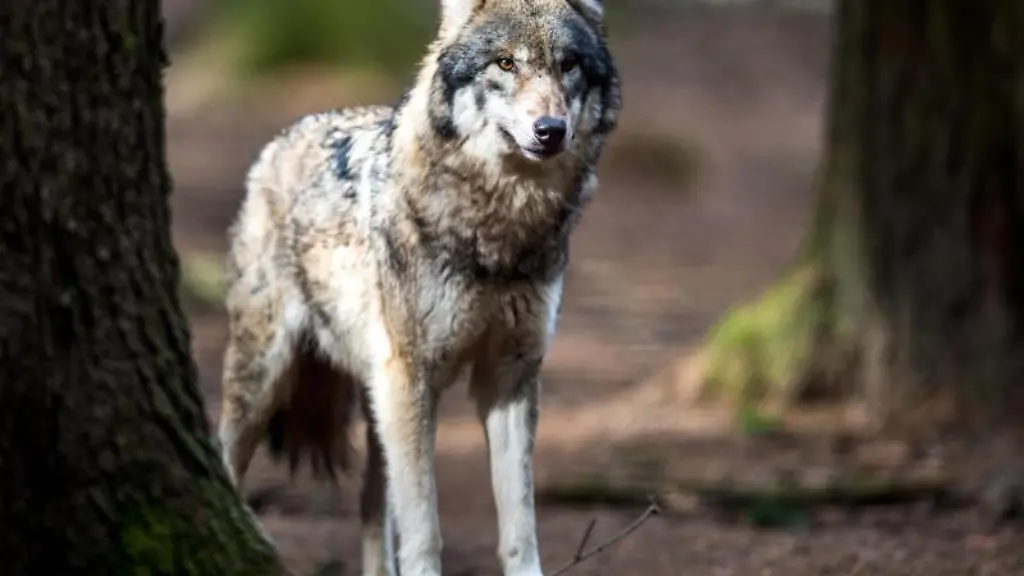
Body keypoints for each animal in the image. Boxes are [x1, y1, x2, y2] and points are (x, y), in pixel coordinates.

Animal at [216, 0, 621, 574]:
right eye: (505, 63)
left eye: (568, 64)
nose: (551, 130)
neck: (497, 233)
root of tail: (282, 138)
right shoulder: (413, 378)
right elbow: (424, 527)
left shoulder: (510, 377)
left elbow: (520, 528)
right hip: (268, 379)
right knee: (225, 459)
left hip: (376, 398)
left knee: (369, 506)